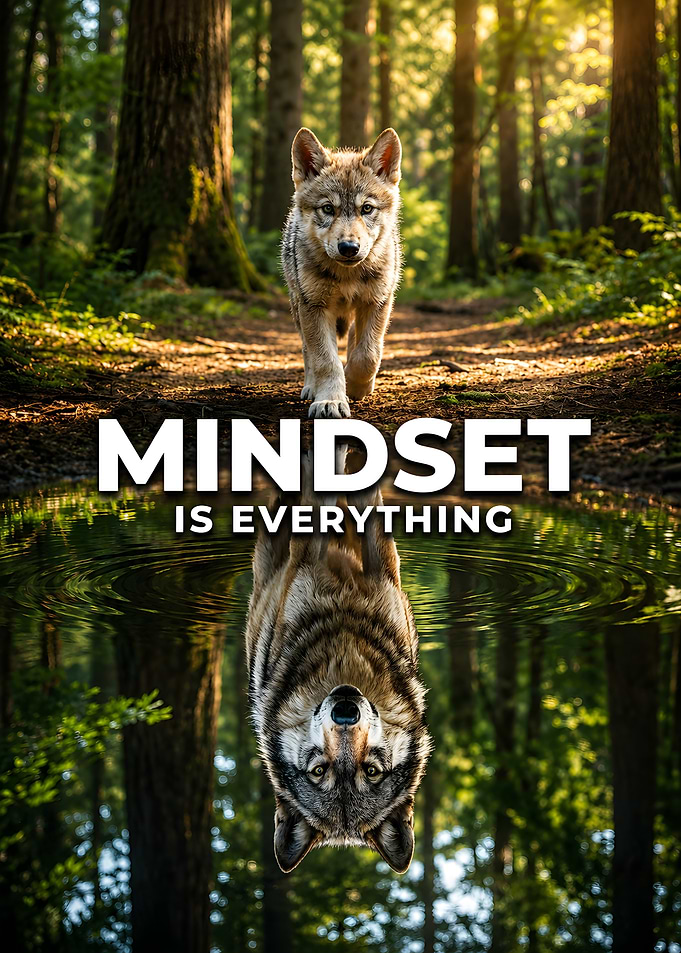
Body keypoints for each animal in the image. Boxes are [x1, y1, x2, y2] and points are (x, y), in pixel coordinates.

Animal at [245, 456, 431, 873]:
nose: (346, 710)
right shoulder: (308, 560)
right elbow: (322, 507)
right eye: (319, 771)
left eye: (372, 771)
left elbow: (359, 508)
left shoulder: (383, 570)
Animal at [281, 127, 402, 419]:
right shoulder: (314, 307)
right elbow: (326, 360)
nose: (348, 247)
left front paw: (356, 387)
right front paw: (331, 400)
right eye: (328, 208)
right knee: (308, 352)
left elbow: (367, 355)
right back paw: (311, 388)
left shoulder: (377, 302)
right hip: (299, 308)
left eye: (366, 208)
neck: (348, 276)